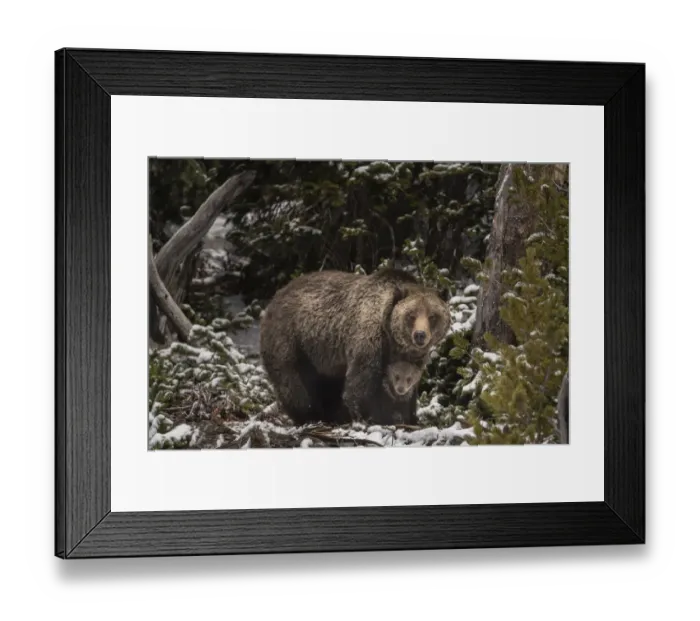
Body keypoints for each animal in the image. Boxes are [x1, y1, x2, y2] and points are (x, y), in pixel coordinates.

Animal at [259, 267, 451, 426]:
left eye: (433, 316)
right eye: (411, 315)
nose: (420, 335)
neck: (392, 339)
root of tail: (275, 297)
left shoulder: (412, 357)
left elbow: (410, 387)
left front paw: (410, 417)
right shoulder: (369, 341)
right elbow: (360, 383)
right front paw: (363, 416)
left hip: (321, 356)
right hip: (291, 338)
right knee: (292, 381)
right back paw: (309, 415)